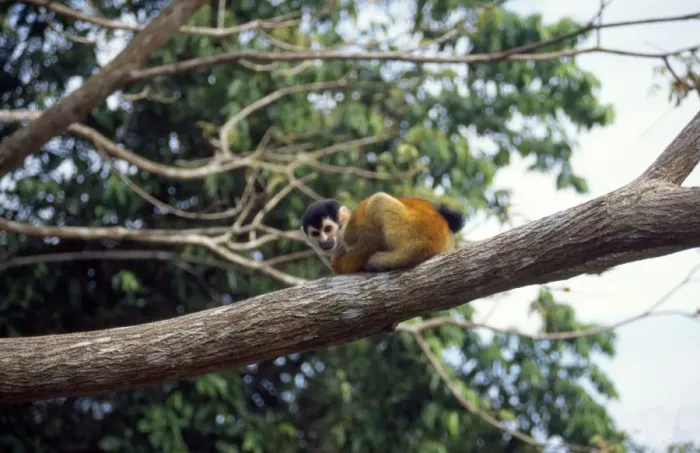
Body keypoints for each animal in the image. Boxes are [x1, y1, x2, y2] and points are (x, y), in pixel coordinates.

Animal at [300, 192, 465, 275]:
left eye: (328, 229)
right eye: (316, 234)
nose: (324, 241)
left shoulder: (351, 230)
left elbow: (372, 239)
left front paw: (340, 266)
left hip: (415, 228)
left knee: (377, 199)